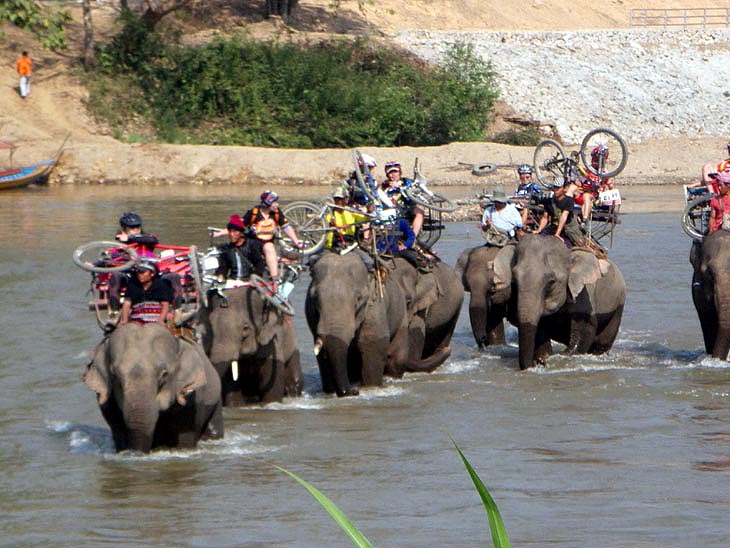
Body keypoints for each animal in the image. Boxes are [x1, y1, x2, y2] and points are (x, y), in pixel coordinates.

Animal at [302, 250, 410, 396]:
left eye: (358, 299)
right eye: (315, 298)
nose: (354, 391)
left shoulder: (374, 307)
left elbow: (372, 344)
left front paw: (369, 388)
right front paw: (330, 392)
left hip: (401, 316)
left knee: (397, 359)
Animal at [492, 233, 628, 370]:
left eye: (551, 282)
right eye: (514, 280)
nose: (540, 363)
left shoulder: (584, 295)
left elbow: (587, 328)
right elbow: (540, 331)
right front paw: (544, 356)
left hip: (618, 304)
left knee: (602, 342)